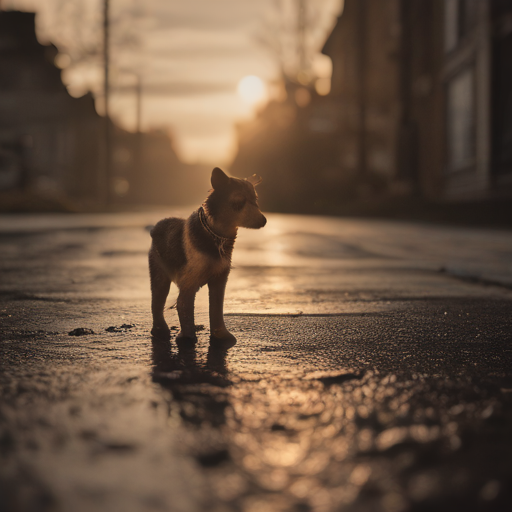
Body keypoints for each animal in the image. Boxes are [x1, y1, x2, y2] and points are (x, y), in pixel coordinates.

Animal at [148, 168, 266, 342]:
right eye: (239, 201)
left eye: (255, 199)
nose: (263, 220)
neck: (216, 237)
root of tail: (157, 226)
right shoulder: (189, 283)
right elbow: (184, 309)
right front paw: (187, 338)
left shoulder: (219, 280)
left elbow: (216, 309)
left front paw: (221, 334)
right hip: (159, 274)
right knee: (157, 301)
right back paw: (159, 329)